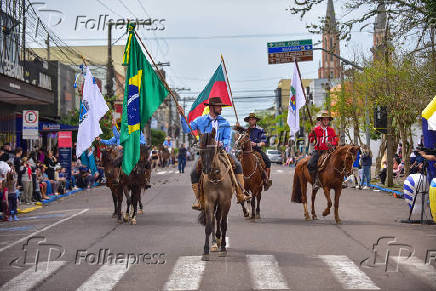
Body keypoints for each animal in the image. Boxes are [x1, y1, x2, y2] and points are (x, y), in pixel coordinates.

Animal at [197, 129, 233, 262]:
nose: (206, 170)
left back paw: (219, 240)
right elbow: (208, 225)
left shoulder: (226, 201)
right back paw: (214, 243)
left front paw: (223, 248)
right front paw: (206, 251)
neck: (216, 177)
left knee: (218, 218)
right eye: (200, 151)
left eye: (213, 150)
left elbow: (223, 224)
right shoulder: (209, 202)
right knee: (213, 219)